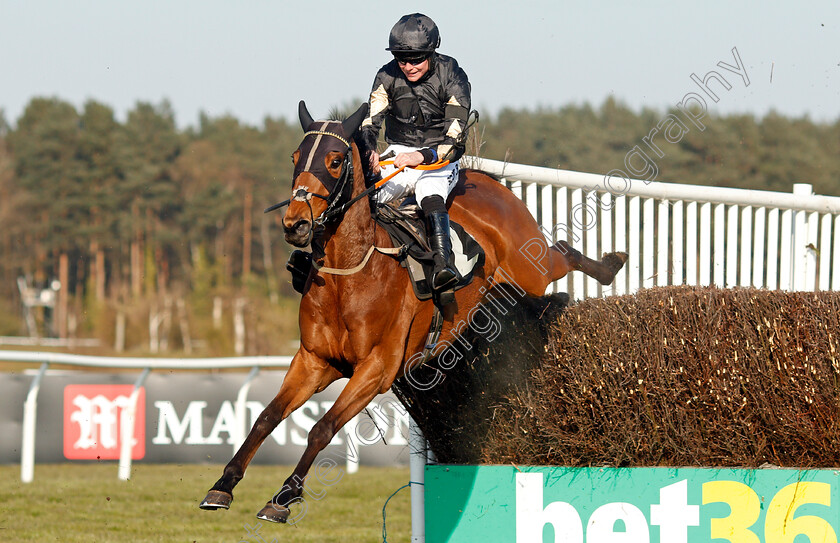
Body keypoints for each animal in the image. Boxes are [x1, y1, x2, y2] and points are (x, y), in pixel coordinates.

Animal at [200, 101, 628, 524]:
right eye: (295, 157)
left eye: (335, 161)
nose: (295, 224)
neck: (350, 273)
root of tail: (485, 180)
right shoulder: (314, 360)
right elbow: (266, 417)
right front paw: (222, 485)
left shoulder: (377, 369)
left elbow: (322, 428)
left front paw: (285, 496)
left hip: (533, 268)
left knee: (563, 252)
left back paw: (609, 265)